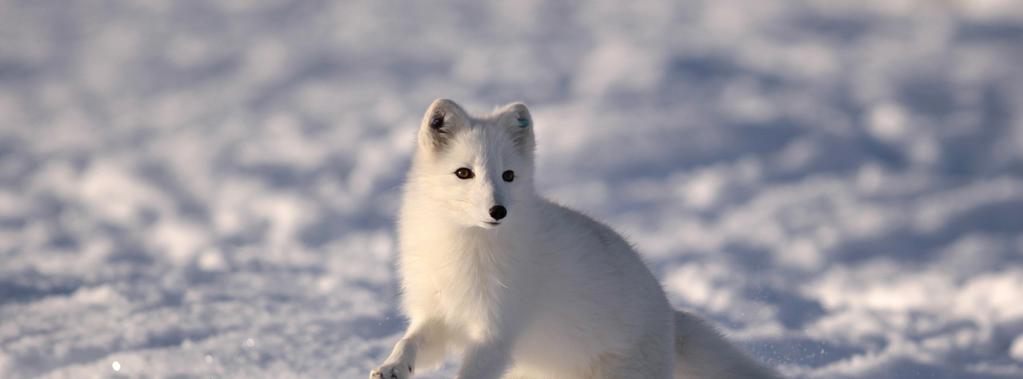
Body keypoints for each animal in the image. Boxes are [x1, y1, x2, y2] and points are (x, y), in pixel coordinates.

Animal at [372, 99, 777, 376]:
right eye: (463, 173)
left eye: (508, 175)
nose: (498, 211)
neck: (463, 246)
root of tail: (670, 319)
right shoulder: (436, 312)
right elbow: (409, 341)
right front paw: (391, 367)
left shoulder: (496, 330)